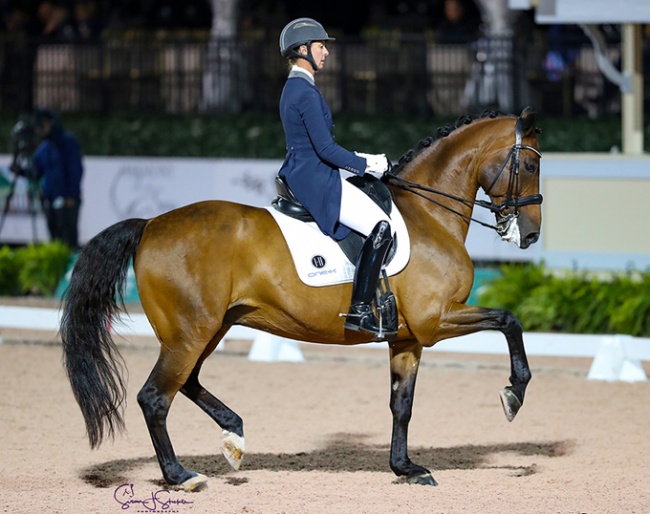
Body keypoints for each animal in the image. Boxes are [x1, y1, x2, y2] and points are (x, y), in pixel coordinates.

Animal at [60, 106, 540, 490]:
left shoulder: (408, 338)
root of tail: (150, 225)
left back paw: (234, 437)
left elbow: (401, 405)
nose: (531, 235)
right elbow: (509, 319)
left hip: (209, 328)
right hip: (188, 334)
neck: (429, 215)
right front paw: (513, 394)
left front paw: (406, 468)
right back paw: (182, 476)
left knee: (188, 381)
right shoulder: (435, 320)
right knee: (156, 397)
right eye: (532, 165)